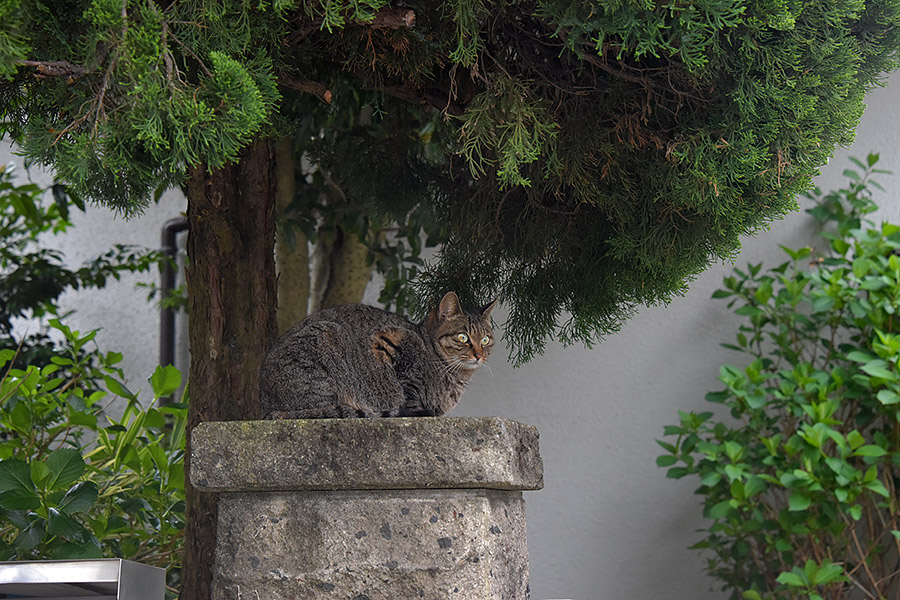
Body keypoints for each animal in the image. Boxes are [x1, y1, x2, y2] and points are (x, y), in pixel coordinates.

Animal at [260, 290, 496, 418]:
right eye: (463, 337)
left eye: (486, 339)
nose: (479, 355)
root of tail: (266, 406)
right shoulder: (389, 343)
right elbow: (409, 391)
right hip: (326, 339)